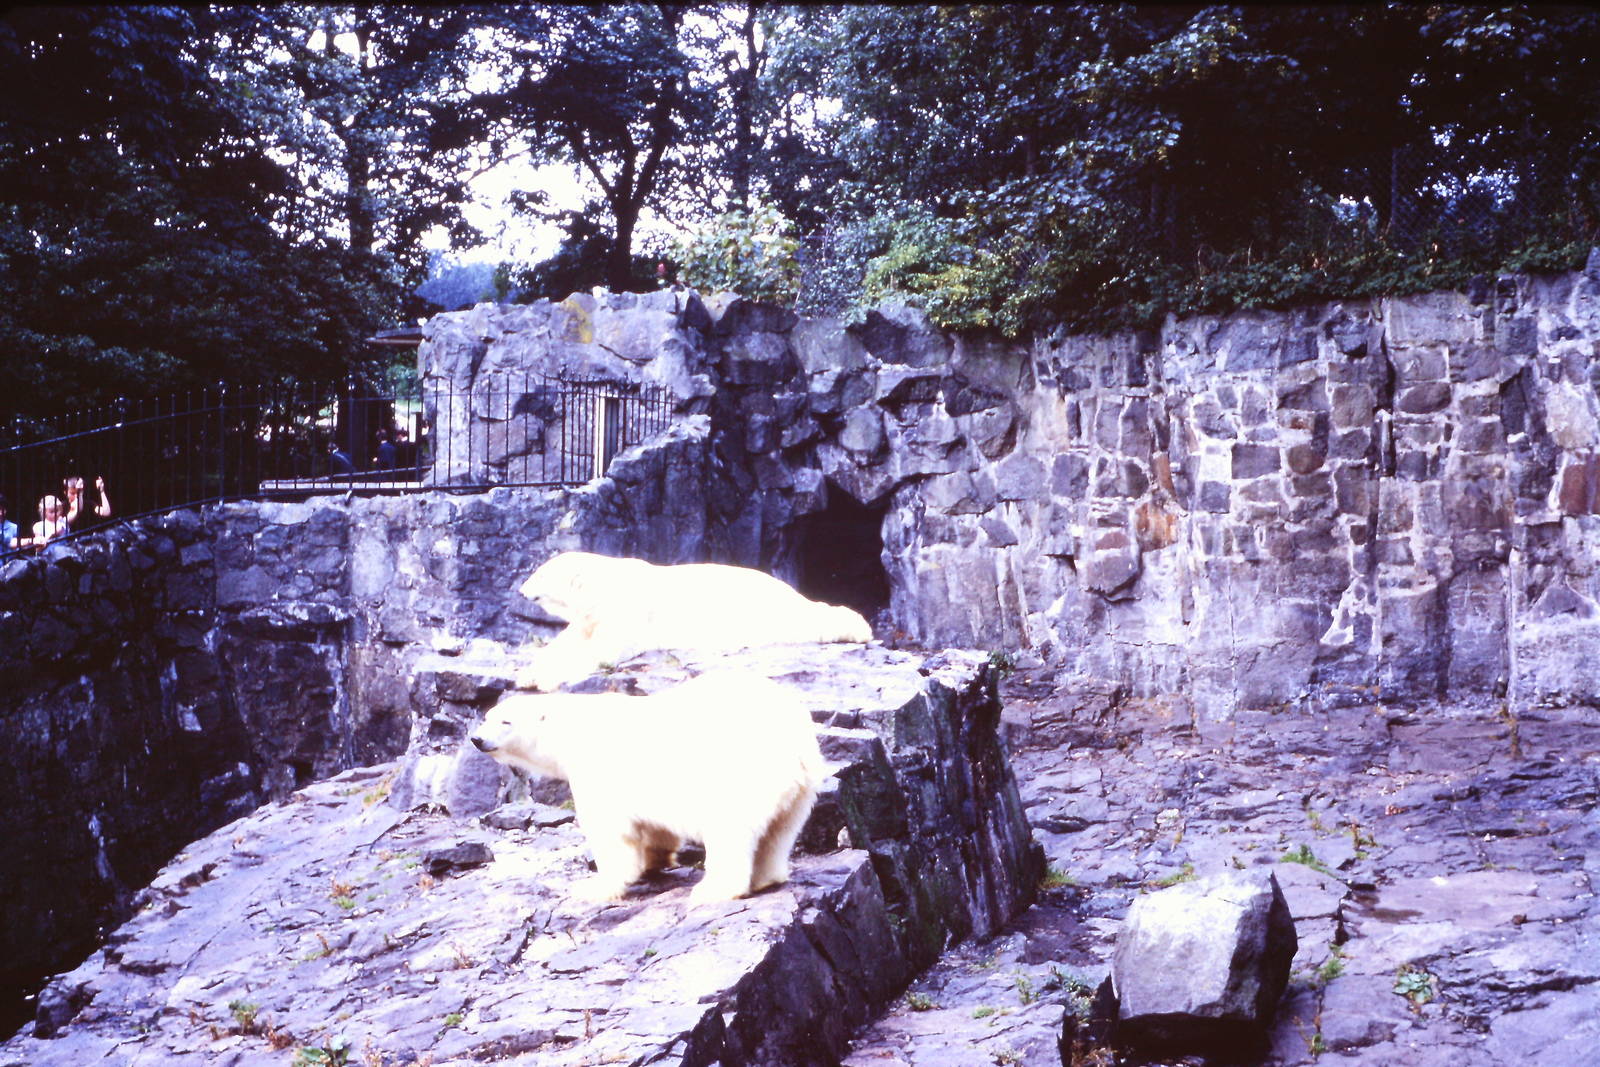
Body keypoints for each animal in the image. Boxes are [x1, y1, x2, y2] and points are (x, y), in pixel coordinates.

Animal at [469, 670, 826, 906]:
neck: (571, 731)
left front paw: (595, 888)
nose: (476, 738)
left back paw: (715, 890)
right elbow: (656, 826)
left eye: (505, 722)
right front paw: (656, 860)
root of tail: (795, 743)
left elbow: (610, 833)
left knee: (730, 833)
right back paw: (767, 877)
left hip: (740, 776)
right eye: (488, 717)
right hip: (802, 786)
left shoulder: (599, 772)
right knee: (780, 831)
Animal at [514, 551, 873, 692]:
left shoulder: (625, 612)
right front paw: (528, 672)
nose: (520, 589)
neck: (602, 587)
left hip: (762, 610)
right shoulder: (590, 617)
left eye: (540, 572)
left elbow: (606, 648)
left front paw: (543, 679)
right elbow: (570, 640)